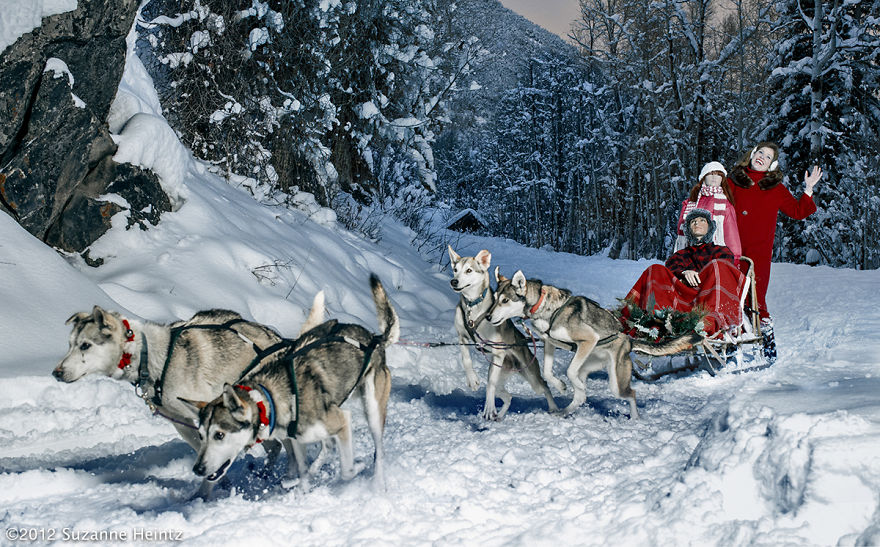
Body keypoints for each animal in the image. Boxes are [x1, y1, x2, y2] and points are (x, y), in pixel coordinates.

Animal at [55, 298, 328, 498]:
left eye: (85, 345)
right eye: (69, 344)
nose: (56, 372)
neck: (150, 356)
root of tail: (281, 341)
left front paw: (204, 491)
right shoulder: (186, 425)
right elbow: (206, 452)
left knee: (288, 446)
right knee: (276, 447)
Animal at [186, 274, 398, 492]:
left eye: (219, 435)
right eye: (201, 436)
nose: (197, 469)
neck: (270, 399)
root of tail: (375, 338)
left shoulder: (342, 421)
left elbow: (347, 471)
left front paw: (358, 466)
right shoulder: (298, 440)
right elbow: (303, 469)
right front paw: (302, 487)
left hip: (372, 410)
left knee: (378, 452)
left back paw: (377, 483)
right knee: (328, 447)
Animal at [446, 246, 556, 422]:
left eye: (469, 270)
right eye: (455, 270)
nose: (454, 281)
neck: (473, 308)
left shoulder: (498, 351)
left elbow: (489, 385)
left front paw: (489, 407)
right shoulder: (462, 336)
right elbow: (466, 359)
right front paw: (472, 379)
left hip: (529, 377)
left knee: (544, 387)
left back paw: (554, 407)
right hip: (499, 372)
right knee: (508, 396)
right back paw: (500, 415)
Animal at [488, 270, 700, 420]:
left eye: (505, 300)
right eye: (495, 298)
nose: (488, 317)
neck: (544, 306)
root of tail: (628, 340)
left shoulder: (588, 340)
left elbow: (569, 372)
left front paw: (569, 386)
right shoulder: (550, 343)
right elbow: (548, 372)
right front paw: (561, 387)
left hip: (615, 381)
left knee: (630, 393)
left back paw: (634, 418)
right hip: (587, 364)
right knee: (580, 395)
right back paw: (565, 410)